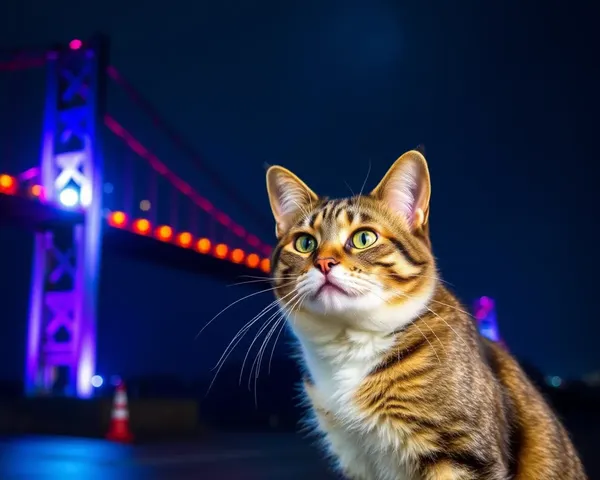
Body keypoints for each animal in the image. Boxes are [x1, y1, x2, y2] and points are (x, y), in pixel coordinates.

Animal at [264, 148, 584, 478]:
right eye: (305, 243)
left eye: (364, 238)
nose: (324, 263)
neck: (350, 345)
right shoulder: (356, 456)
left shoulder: (460, 453)